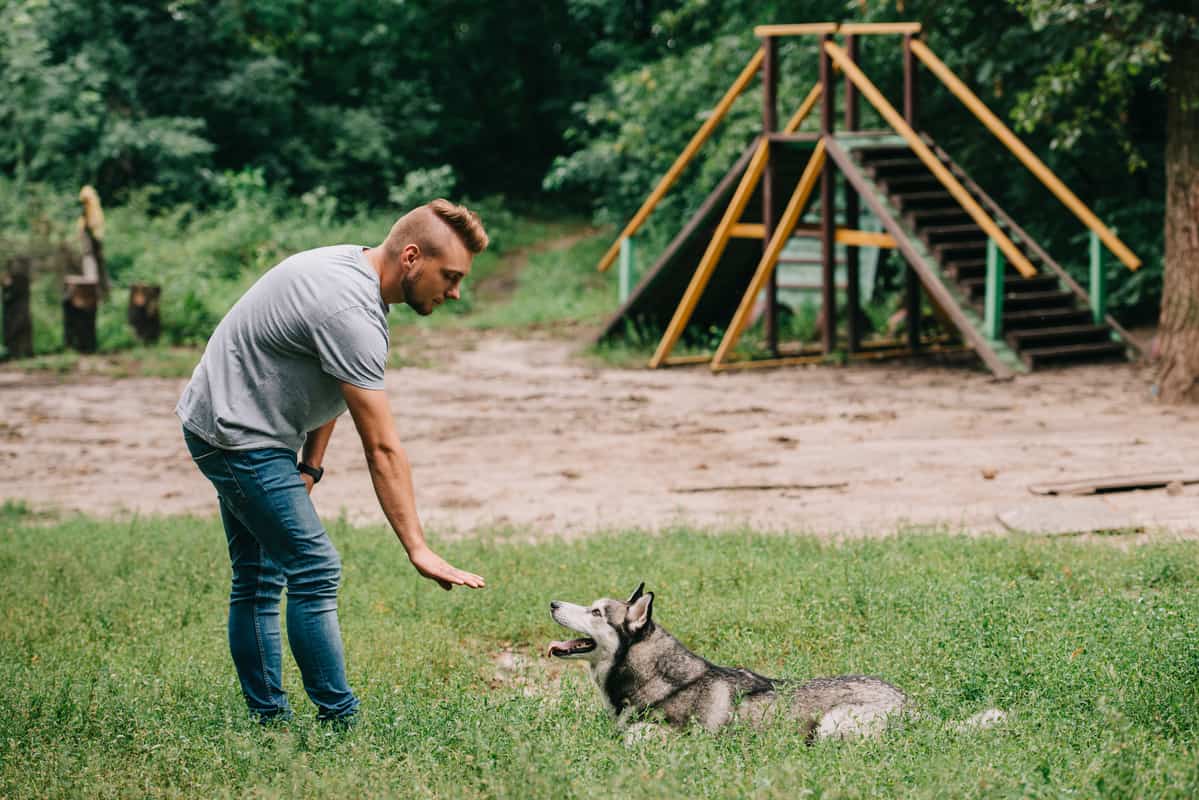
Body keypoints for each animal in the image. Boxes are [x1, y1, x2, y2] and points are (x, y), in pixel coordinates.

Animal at [549, 585, 997, 743]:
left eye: (595, 612)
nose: (552, 603)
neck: (668, 680)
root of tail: (914, 707)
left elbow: (631, 739)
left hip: (832, 726)